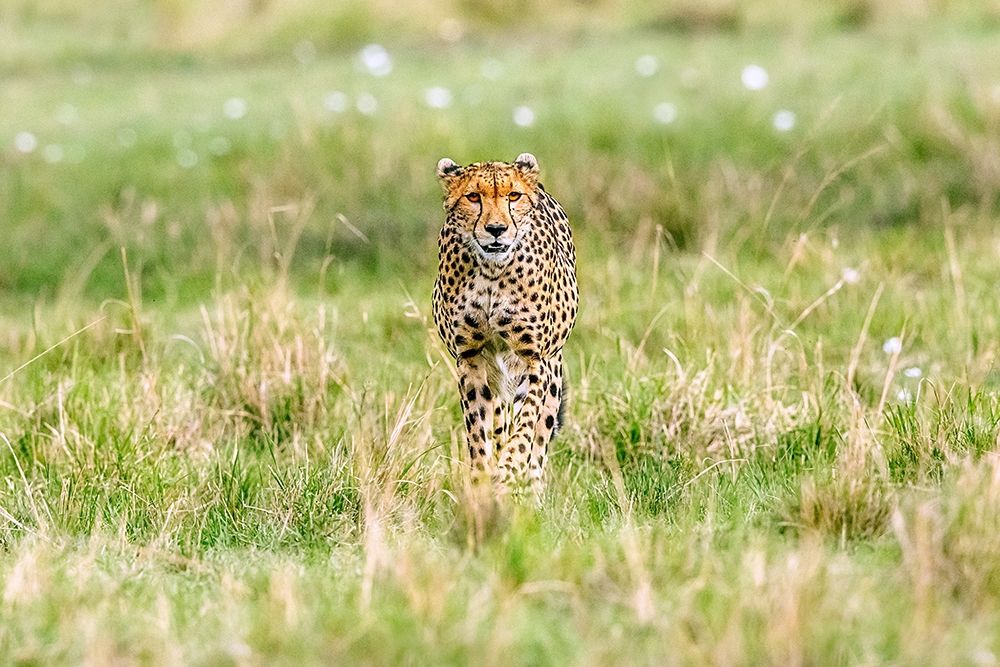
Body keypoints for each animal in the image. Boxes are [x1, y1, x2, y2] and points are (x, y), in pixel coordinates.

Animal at [432, 153, 578, 497]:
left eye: (513, 196)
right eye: (473, 197)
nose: (496, 229)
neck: (491, 270)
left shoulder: (534, 359)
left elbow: (526, 427)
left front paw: (510, 470)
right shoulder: (470, 358)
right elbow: (478, 431)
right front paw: (482, 480)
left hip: (551, 372)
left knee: (539, 435)